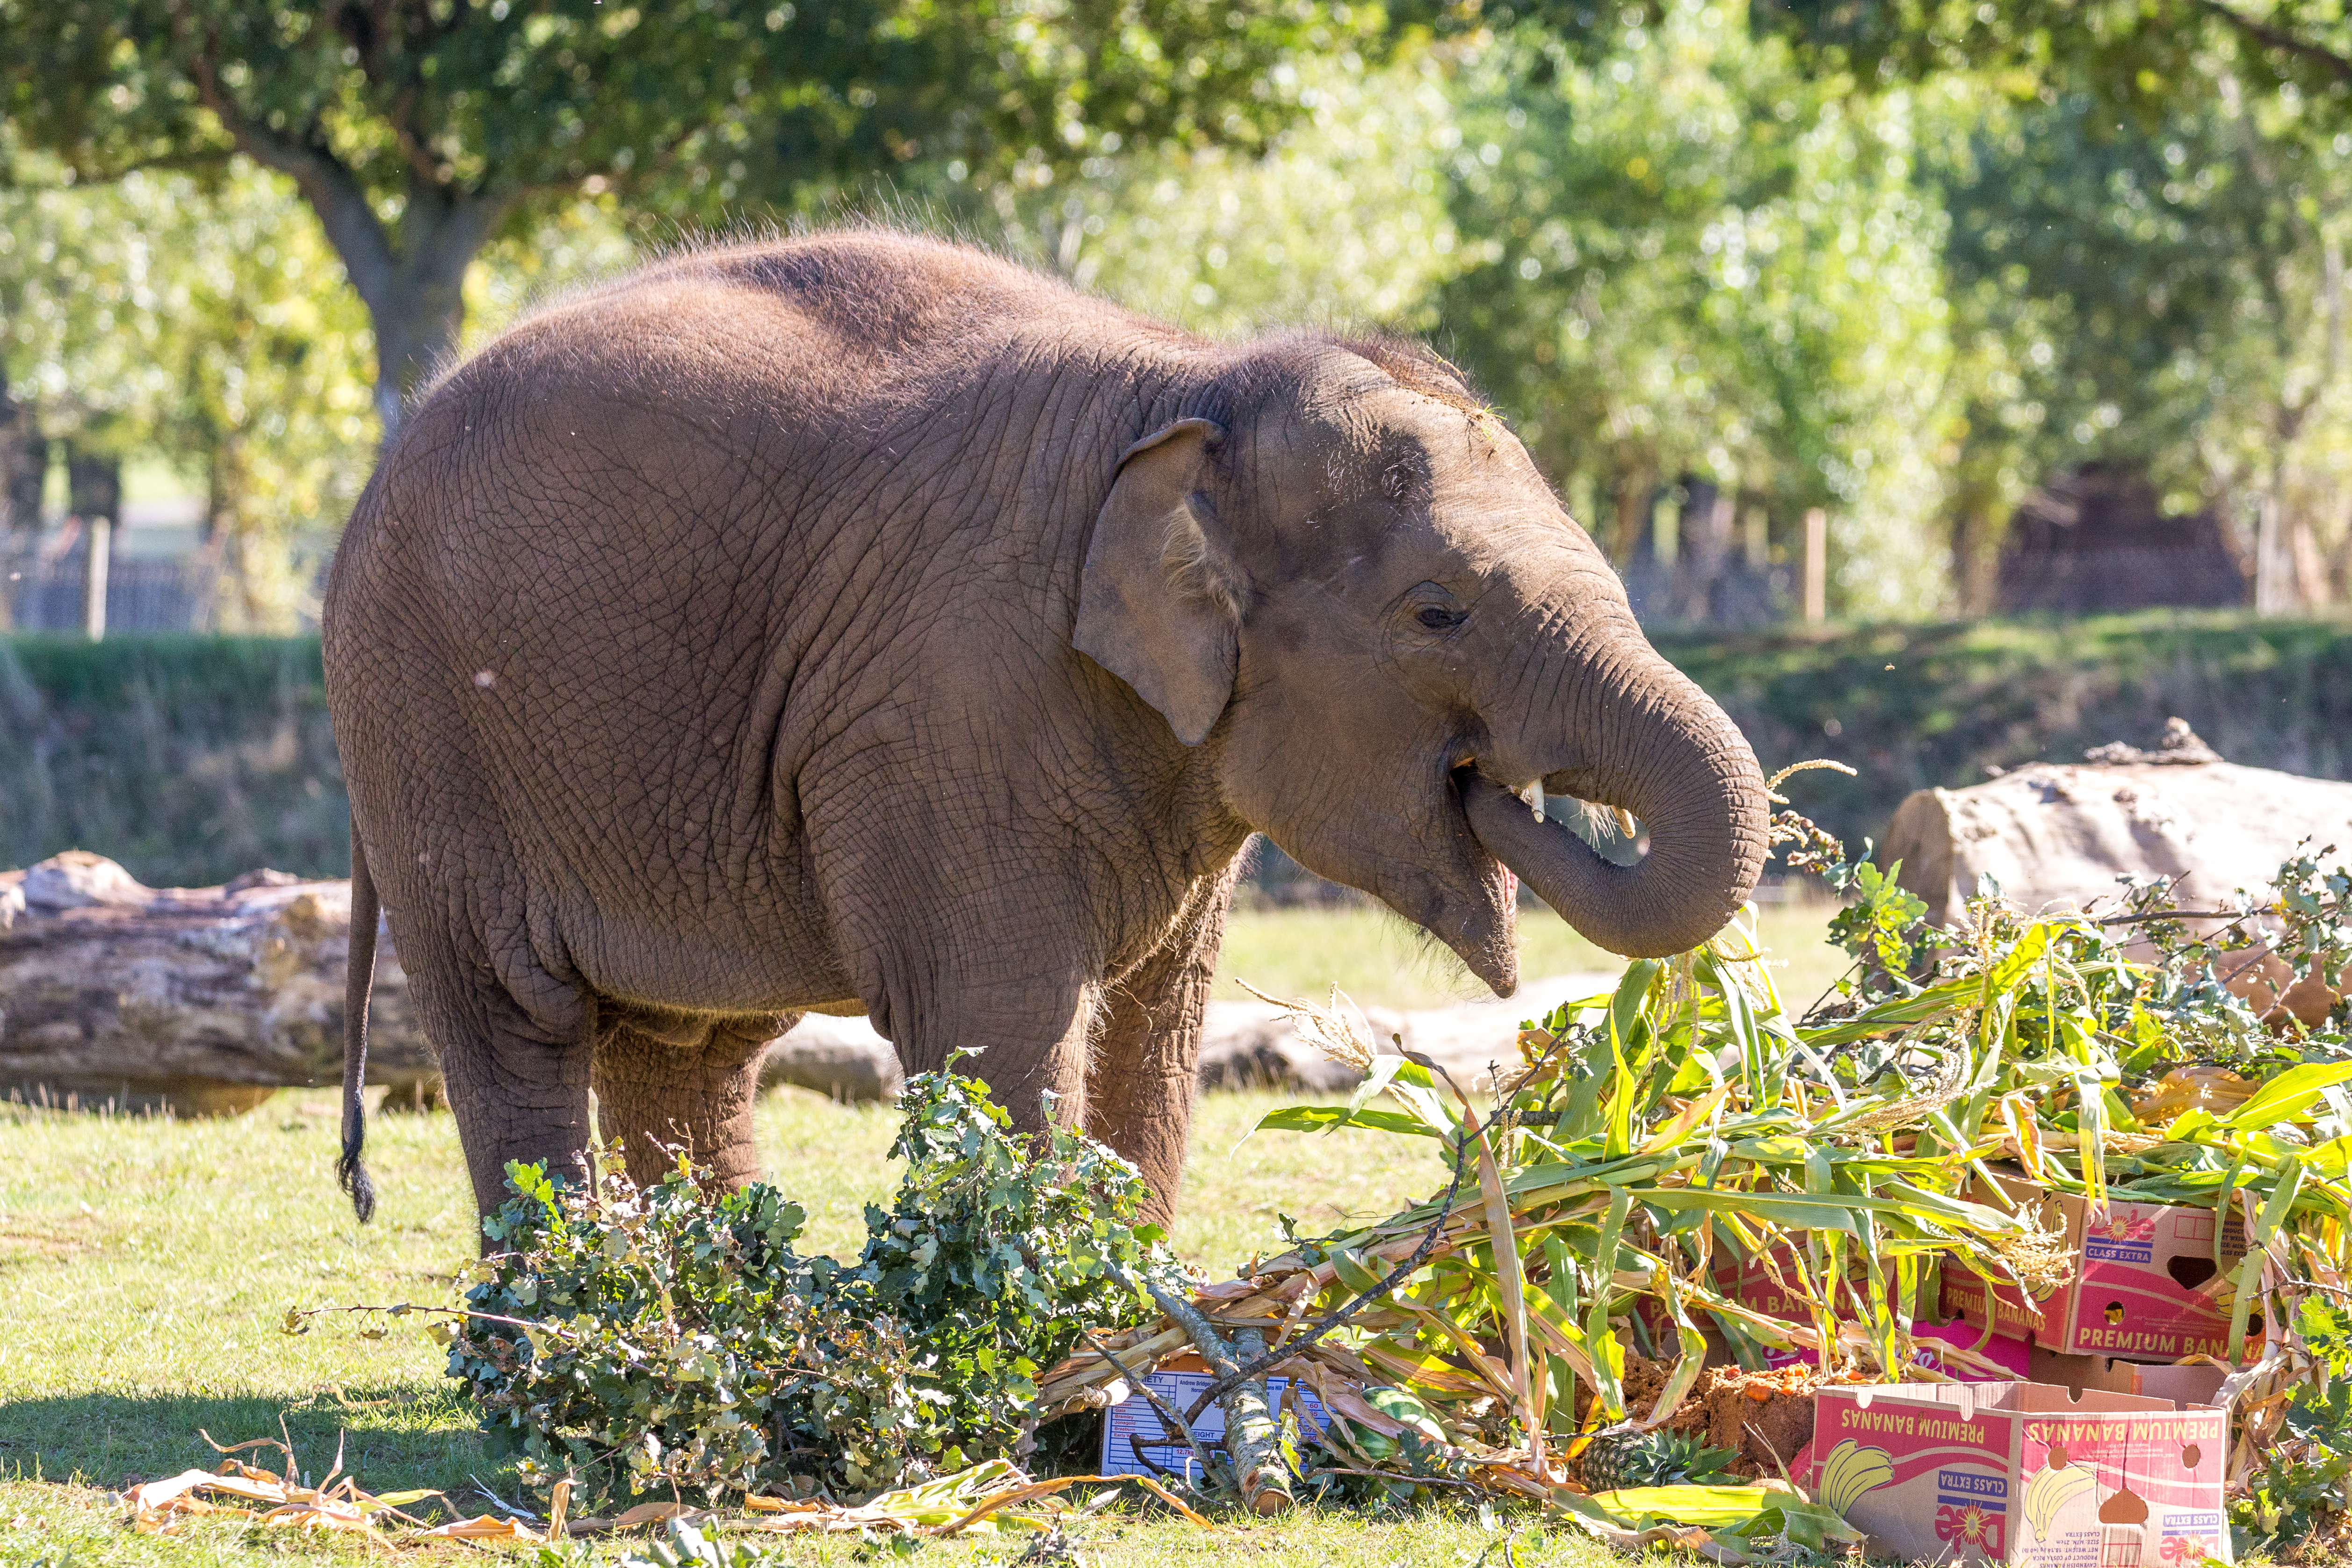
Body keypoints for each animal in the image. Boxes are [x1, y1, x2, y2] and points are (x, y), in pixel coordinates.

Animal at [327, 230, 1768, 1241]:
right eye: (1435, 612)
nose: (1515, 795)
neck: (1195, 380)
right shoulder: (948, 700)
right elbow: (998, 1016)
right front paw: (1056, 1351)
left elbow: (1157, 1023)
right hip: (424, 732)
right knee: (518, 1020)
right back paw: (565, 1335)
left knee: (689, 1046)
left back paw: (716, 1312)